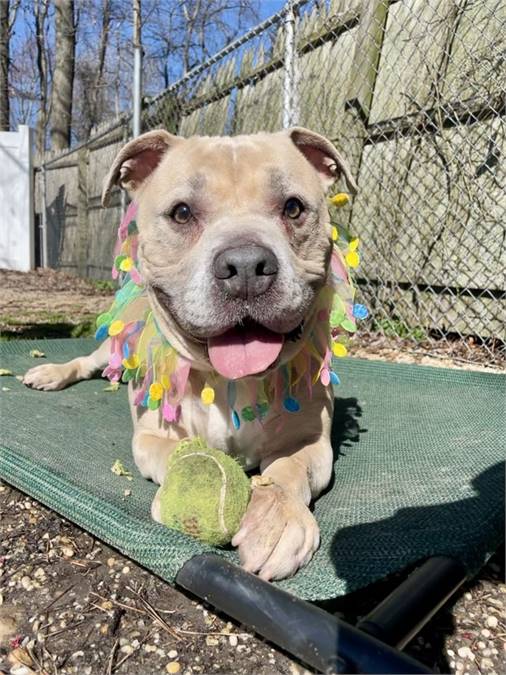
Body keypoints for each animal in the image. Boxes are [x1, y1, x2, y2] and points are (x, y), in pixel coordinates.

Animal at [23, 127, 356, 580]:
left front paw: (275, 518)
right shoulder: (152, 438)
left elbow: (289, 468)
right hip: (110, 348)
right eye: (181, 213)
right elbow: (185, 454)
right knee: (85, 362)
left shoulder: (312, 442)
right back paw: (51, 373)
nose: (246, 266)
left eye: (293, 207)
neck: (229, 380)